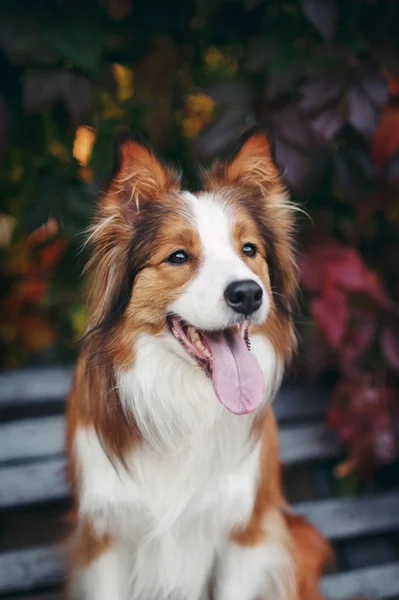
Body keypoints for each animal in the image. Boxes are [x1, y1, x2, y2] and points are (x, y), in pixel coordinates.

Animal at [66, 130, 332, 600]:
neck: (185, 400)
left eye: (249, 250)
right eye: (178, 257)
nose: (247, 293)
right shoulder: (103, 537)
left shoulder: (245, 533)